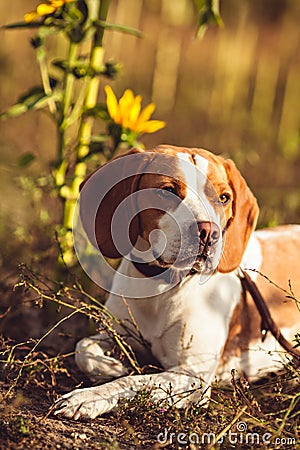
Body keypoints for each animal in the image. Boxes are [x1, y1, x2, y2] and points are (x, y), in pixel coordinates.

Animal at [54, 146, 300, 420]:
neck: (161, 287)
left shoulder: (191, 377)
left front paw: (87, 397)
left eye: (224, 197)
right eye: (167, 190)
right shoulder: (118, 334)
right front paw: (110, 367)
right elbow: (83, 347)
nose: (209, 233)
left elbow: (132, 382)